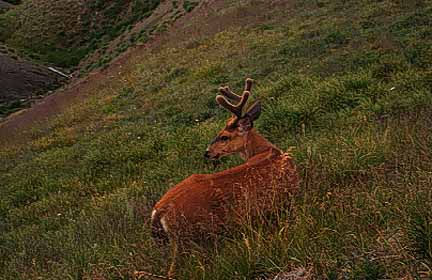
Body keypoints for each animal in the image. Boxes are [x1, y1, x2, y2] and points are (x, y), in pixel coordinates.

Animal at [150, 77, 298, 276]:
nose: (207, 152)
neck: (269, 151)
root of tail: (159, 210)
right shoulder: (286, 203)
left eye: (224, 136)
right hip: (188, 238)